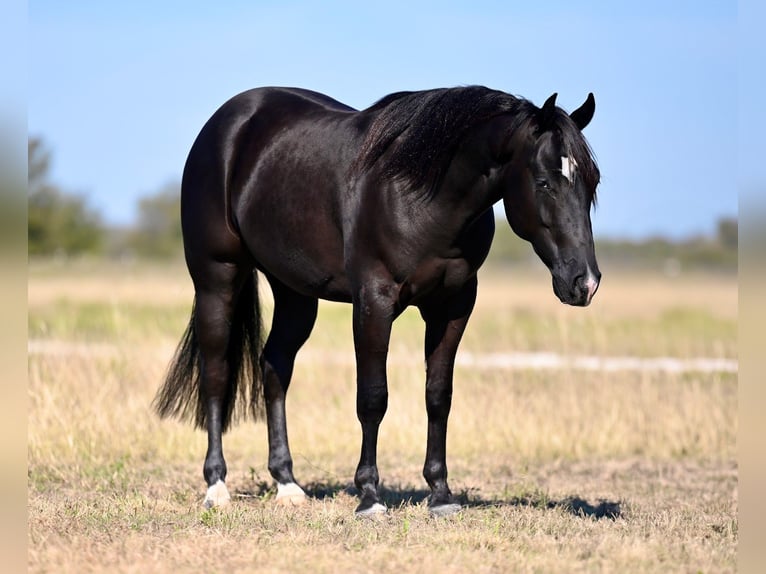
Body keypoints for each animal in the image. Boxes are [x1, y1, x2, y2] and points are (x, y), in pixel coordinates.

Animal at [153, 84, 604, 516]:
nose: (585, 282)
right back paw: (217, 487)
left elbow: (438, 395)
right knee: (216, 373)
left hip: (295, 293)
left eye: (593, 182)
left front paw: (440, 493)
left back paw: (288, 485)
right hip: (217, 278)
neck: (421, 195)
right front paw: (369, 495)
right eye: (544, 181)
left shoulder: (454, 304)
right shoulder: (374, 300)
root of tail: (229, 120)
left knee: (275, 367)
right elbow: (373, 397)